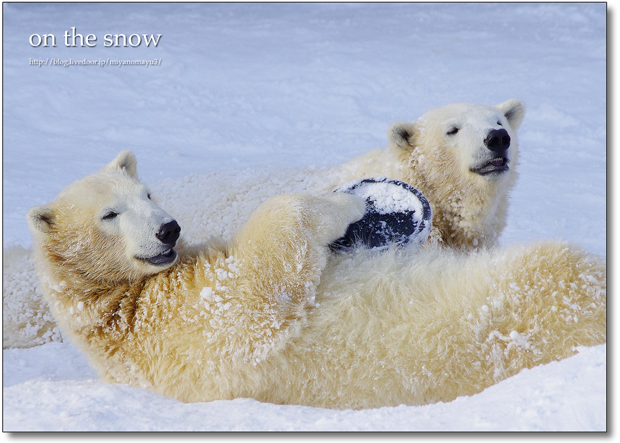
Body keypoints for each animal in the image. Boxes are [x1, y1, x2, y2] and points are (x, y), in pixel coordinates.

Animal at [27, 152, 604, 410]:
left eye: (146, 193)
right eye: (109, 213)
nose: (169, 227)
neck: (109, 304)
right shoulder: (173, 323)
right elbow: (256, 287)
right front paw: (349, 204)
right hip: (522, 303)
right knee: (558, 272)